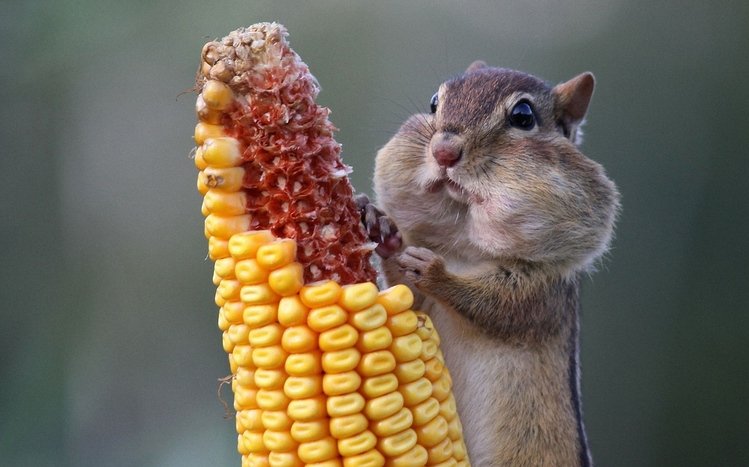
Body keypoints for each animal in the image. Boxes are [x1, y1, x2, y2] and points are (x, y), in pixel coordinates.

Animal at [358, 61, 620, 466]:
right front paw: (381, 227)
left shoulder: (542, 294)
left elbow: (497, 306)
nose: (444, 151)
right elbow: (407, 296)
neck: (466, 249)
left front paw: (435, 273)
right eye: (434, 103)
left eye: (523, 116)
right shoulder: (421, 305)